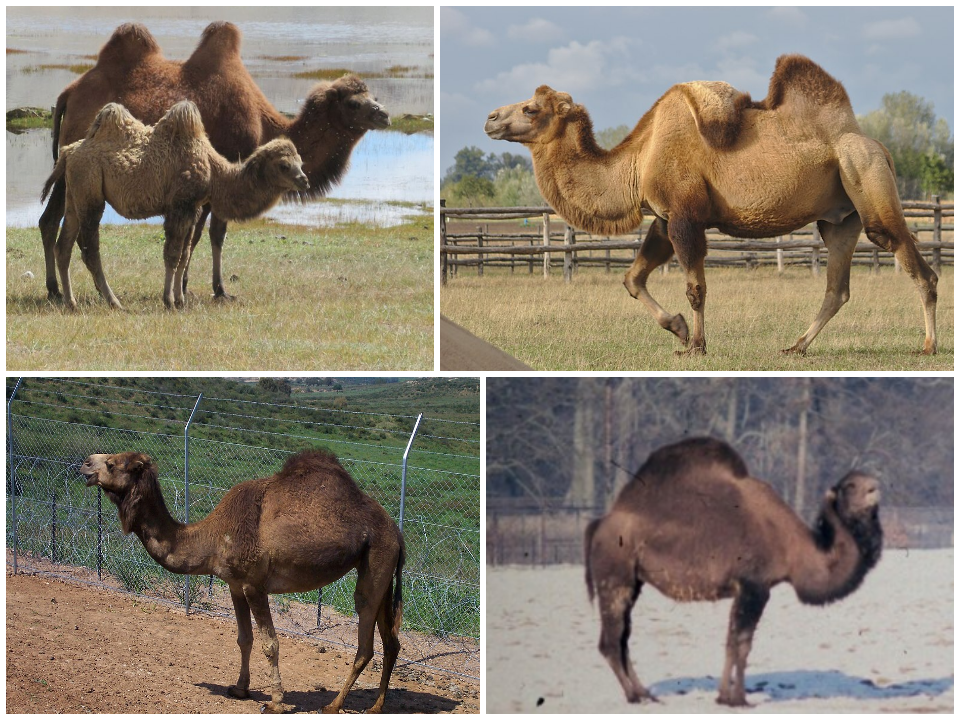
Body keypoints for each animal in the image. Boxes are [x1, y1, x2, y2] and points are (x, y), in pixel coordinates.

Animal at [42, 100, 308, 310]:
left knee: (63, 245)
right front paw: (169, 300)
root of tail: (68, 152)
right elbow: (172, 254)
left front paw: (181, 299)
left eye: (300, 161)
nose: (304, 180)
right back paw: (113, 301)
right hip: (91, 193)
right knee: (89, 249)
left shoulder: (194, 208)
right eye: (284, 165)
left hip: (75, 196)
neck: (214, 172)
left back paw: (71, 301)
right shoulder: (180, 205)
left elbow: (185, 252)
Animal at [79, 449, 405, 714]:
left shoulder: (254, 585)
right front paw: (239, 688)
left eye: (111, 463)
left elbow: (270, 644)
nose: (85, 463)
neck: (211, 537)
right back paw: (376, 706)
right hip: (381, 569)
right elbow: (243, 639)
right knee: (391, 641)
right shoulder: (235, 585)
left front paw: (275, 702)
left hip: (377, 557)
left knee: (365, 638)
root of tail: (398, 534)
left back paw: (334, 704)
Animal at [484, 54, 938, 356]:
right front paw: (679, 330)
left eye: (530, 108)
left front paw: (697, 346)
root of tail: (877, 145)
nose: (490, 118)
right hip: (840, 218)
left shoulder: (685, 216)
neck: (639, 160)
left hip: (864, 174)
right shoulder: (664, 218)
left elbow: (695, 288)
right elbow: (633, 279)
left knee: (915, 264)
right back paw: (796, 346)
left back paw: (929, 345)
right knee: (837, 288)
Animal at [584, 437, 883, 707]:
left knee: (623, 638)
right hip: (614, 578)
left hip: (633, 582)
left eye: (868, 481)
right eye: (849, 486)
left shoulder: (745, 589)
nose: (874, 489)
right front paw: (739, 699)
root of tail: (599, 524)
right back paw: (634, 696)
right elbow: (742, 644)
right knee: (611, 641)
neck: (792, 547)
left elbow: (731, 643)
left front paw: (723, 696)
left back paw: (646, 693)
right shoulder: (755, 585)